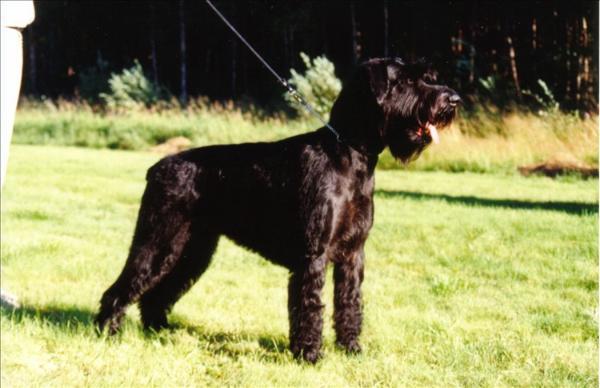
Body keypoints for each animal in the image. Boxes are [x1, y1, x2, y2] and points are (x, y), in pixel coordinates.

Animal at [95, 58, 460, 364]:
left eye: (428, 77)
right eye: (408, 81)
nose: (453, 99)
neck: (350, 153)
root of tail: (157, 167)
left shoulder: (353, 255)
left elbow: (350, 303)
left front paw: (352, 349)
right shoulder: (313, 255)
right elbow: (310, 305)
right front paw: (309, 355)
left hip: (191, 251)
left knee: (156, 294)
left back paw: (158, 331)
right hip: (158, 242)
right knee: (122, 288)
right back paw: (108, 333)